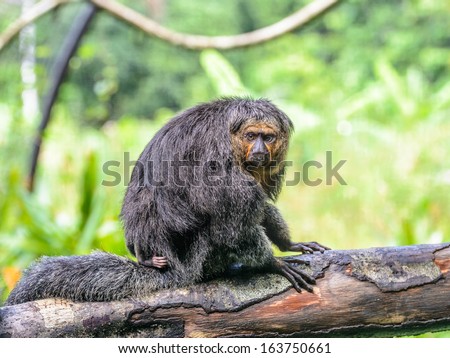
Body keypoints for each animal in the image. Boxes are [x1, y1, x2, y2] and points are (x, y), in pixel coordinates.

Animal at [6, 98, 330, 304]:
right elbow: (231, 230)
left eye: (268, 137)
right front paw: (273, 263)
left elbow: (259, 210)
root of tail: (175, 267)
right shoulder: (219, 162)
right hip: (202, 257)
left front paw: (289, 244)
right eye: (252, 136)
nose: (261, 150)